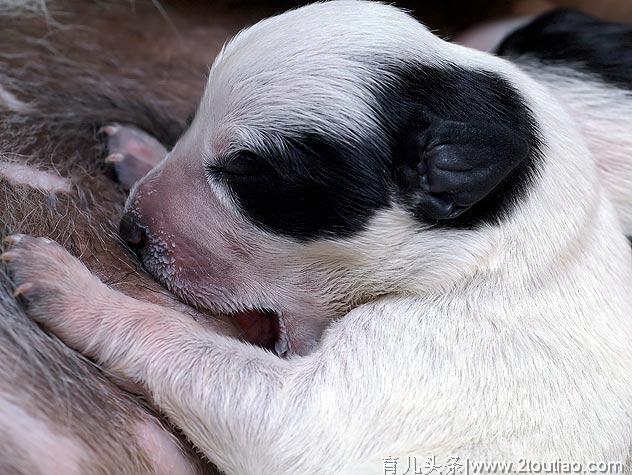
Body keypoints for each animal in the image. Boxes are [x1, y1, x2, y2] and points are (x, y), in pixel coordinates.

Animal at [3, 1, 632, 474]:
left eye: (249, 177)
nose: (131, 229)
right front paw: (140, 151)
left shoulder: (378, 388)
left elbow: (211, 362)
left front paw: (68, 285)